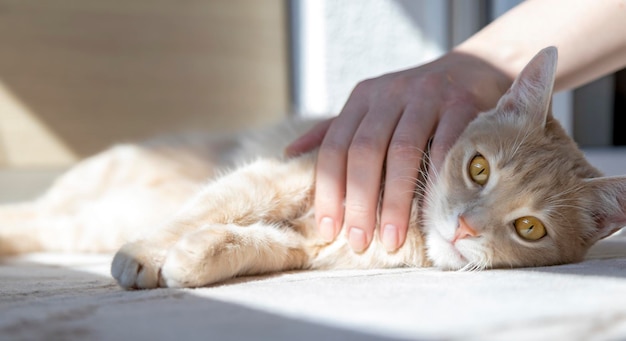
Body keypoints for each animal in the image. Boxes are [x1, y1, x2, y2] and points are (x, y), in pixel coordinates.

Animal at [1, 46, 624, 288]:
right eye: (478, 169)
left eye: (529, 228)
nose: (467, 227)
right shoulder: (281, 177)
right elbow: (212, 208)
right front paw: (145, 254)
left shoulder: (316, 245)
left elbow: (253, 242)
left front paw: (192, 259)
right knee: (36, 211)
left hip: (88, 221)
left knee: (43, 224)